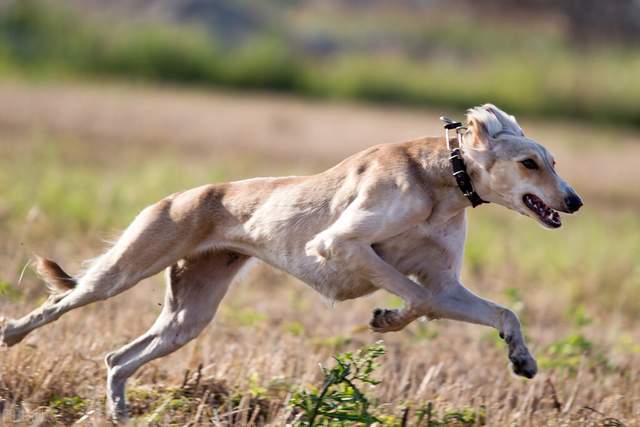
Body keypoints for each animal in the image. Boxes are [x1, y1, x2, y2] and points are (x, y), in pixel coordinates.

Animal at [0, 104, 584, 422]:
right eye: (529, 163)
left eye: (554, 161)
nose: (574, 201)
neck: (440, 179)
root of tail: (180, 196)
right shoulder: (339, 244)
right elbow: (413, 297)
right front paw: (386, 318)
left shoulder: (445, 285)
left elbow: (501, 313)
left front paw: (522, 359)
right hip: (121, 272)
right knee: (58, 304)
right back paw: (12, 334)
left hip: (188, 317)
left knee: (118, 359)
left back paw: (120, 413)